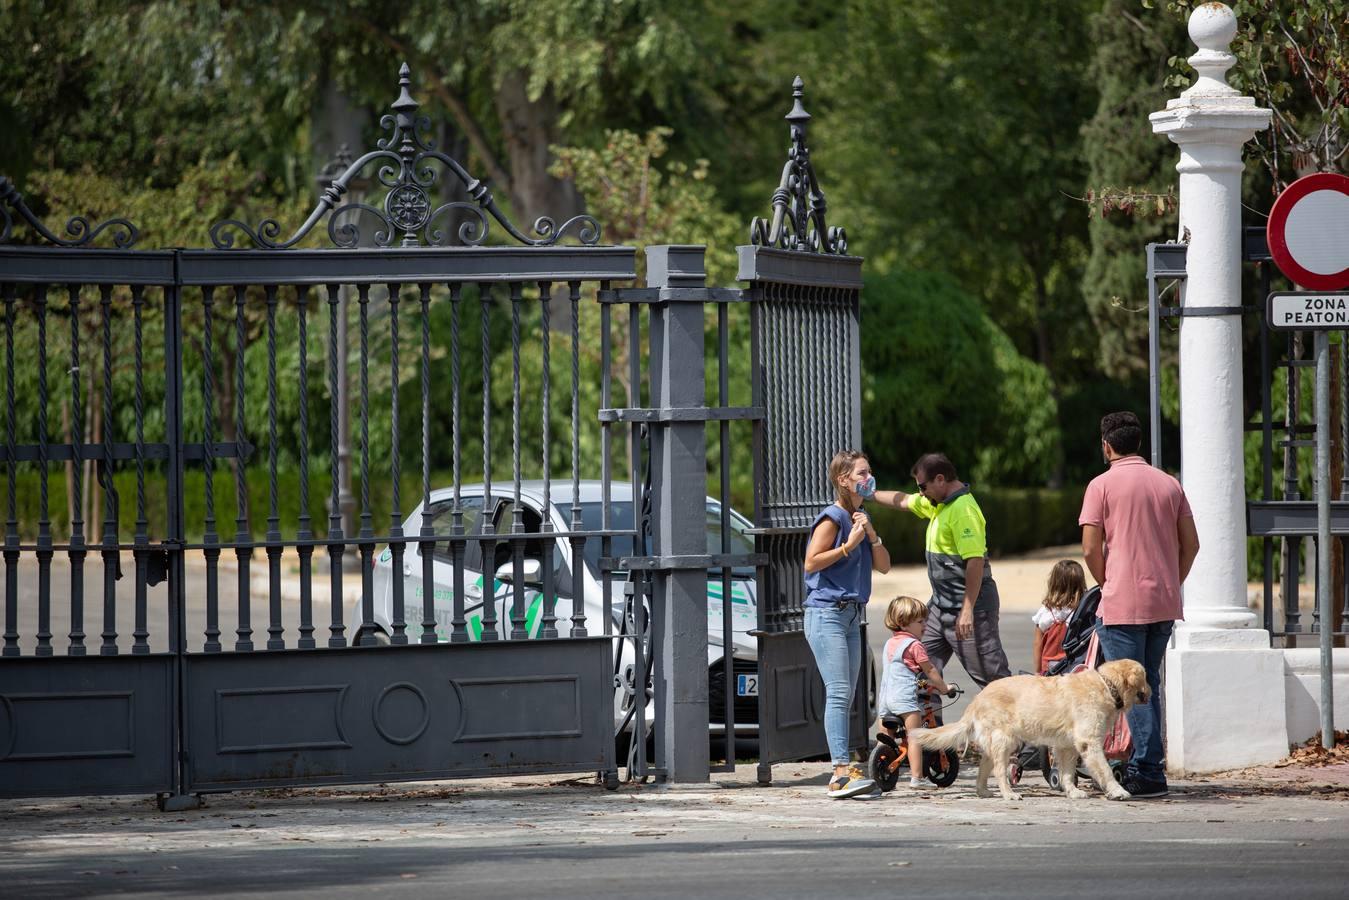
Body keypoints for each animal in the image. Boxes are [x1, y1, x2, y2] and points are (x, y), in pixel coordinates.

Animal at [906, 661, 1149, 804]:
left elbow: (1067, 773)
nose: (1152, 690)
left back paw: (983, 792)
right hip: (1005, 740)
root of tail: (978, 698)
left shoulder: (1067, 746)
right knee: (1000, 771)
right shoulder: (1088, 742)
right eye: (1145, 677)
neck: (1106, 685)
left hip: (995, 743)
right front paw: (1118, 791)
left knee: (985, 768)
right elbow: (1106, 771)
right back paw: (1009, 794)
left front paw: (1072, 792)